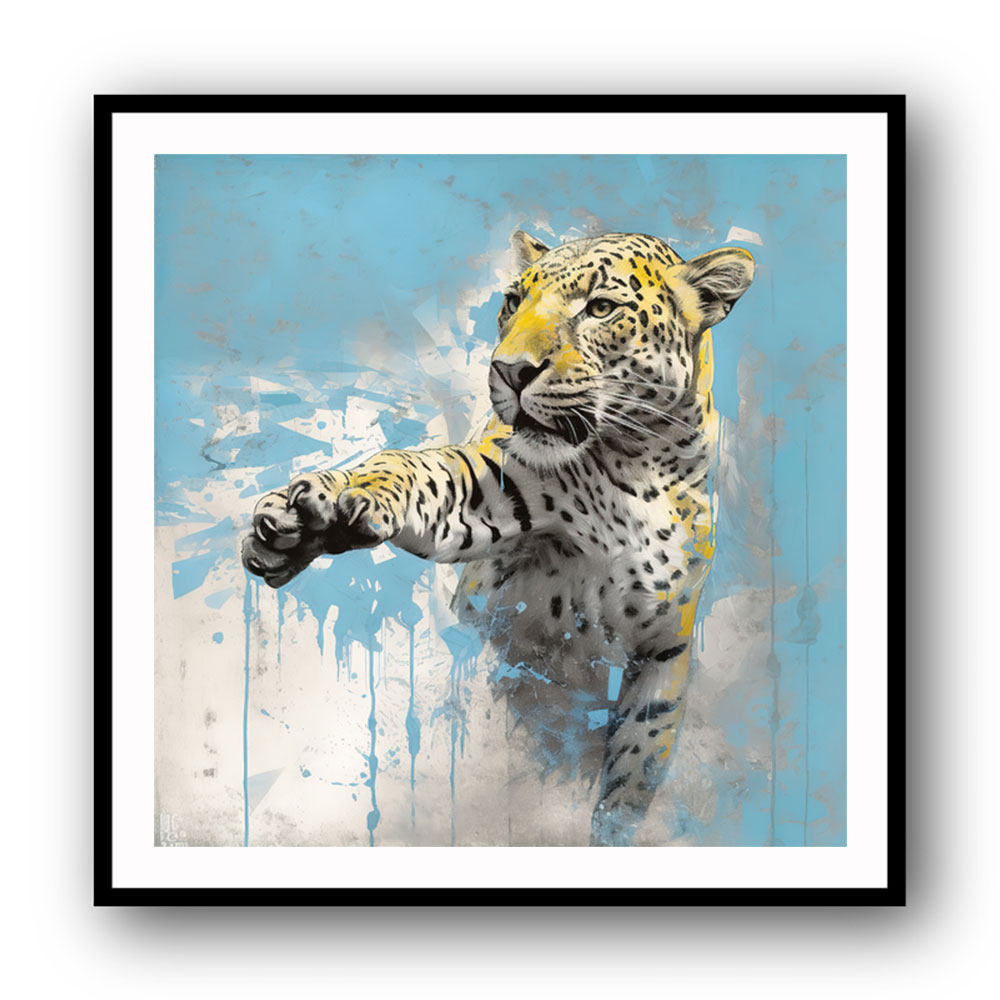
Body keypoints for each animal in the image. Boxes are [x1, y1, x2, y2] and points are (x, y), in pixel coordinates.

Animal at [242, 229, 754, 845]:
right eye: (513, 302)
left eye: (600, 308)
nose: (509, 370)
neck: (636, 467)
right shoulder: (491, 493)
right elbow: (420, 473)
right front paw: (317, 511)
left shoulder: (662, 654)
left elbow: (630, 776)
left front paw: (609, 828)